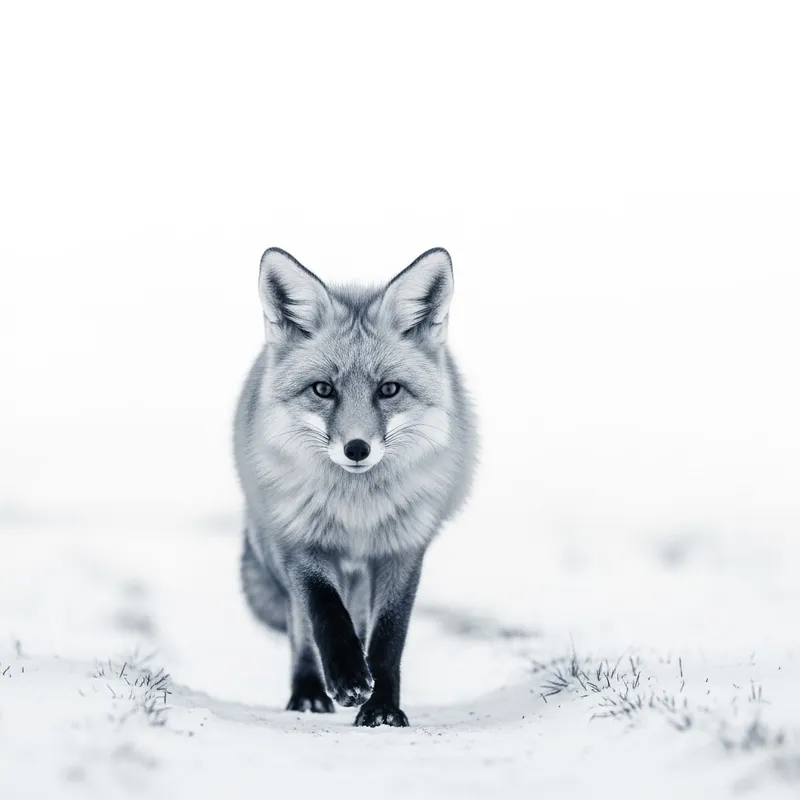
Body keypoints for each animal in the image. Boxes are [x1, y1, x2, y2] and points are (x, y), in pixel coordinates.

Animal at [234, 246, 477, 727]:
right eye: (323, 389)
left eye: (389, 390)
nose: (357, 448)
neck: (357, 512)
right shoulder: (299, 541)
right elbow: (324, 613)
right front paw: (346, 677)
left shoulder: (403, 548)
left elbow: (388, 635)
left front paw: (382, 707)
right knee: (301, 625)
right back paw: (310, 690)